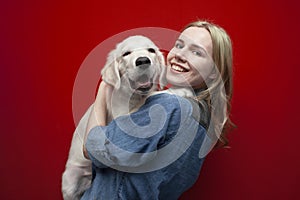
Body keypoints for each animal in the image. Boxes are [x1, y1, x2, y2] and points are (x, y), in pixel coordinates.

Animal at [61, 35, 166, 199]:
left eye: (151, 50)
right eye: (126, 53)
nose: (143, 60)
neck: (134, 96)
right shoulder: (122, 116)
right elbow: (150, 99)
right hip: (71, 181)